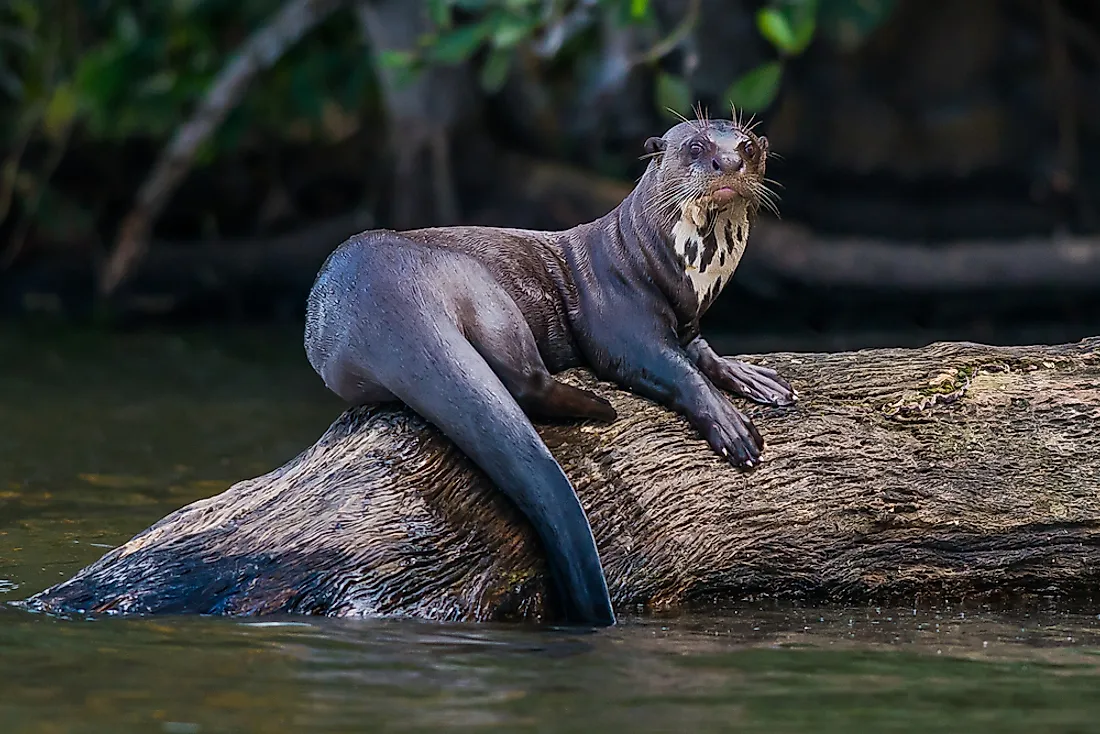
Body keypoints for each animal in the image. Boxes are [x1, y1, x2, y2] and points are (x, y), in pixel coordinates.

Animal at [305, 112, 796, 629]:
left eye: (747, 145)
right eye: (696, 146)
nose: (729, 162)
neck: (659, 264)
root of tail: (382, 296)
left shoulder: (688, 323)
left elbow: (702, 353)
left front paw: (754, 378)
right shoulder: (619, 321)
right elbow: (671, 368)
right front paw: (730, 426)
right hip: (479, 287)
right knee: (525, 380)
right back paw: (599, 408)